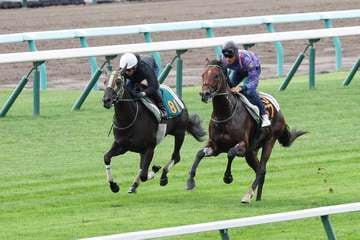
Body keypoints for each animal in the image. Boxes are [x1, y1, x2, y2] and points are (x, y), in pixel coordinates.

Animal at [186, 59, 306, 203]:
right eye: (203, 74)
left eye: (216, 76)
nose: (205, 94)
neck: (225, 113)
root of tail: (279, 111)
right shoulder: (215, 146)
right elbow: (199, 154)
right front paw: (190, 181)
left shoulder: (243, 145)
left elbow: (231, 153)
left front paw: (228, 177)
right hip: (252, 152)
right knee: (260, 170)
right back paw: (257, 197)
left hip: (269, 141)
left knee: (261, 169)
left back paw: (248, 195)